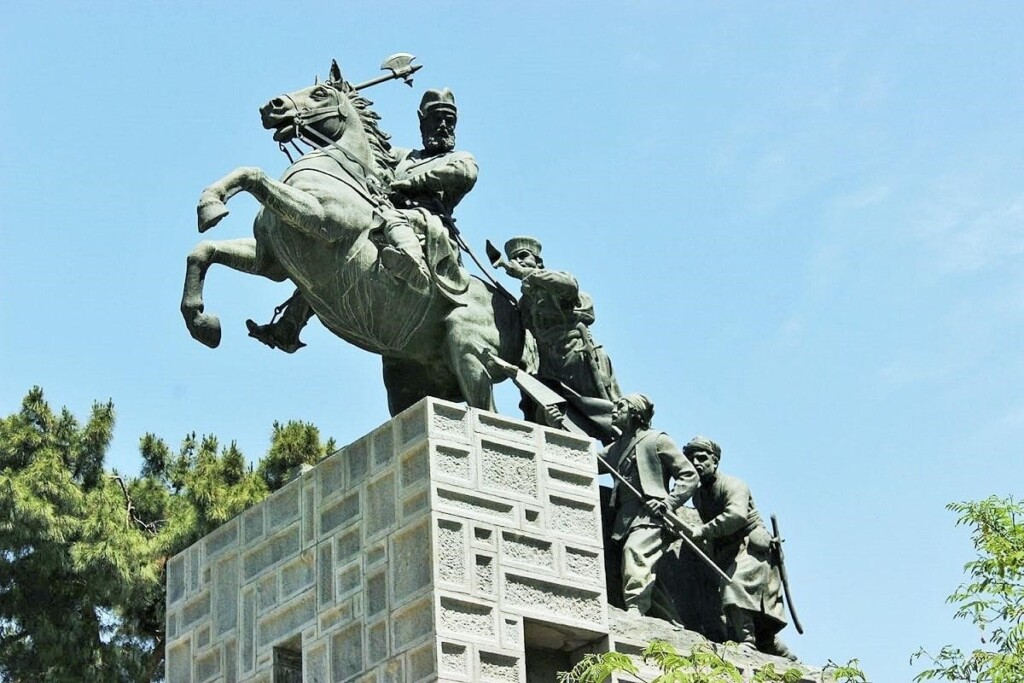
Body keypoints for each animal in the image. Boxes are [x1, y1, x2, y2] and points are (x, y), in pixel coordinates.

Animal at [178, 62, 520, 417]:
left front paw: (211, 205)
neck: (338, 169)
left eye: (319, 93)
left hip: (469, 357)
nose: (272, 106)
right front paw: (202, 321)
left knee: (488, 410)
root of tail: (513, 311)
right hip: (410, 377)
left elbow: (254, 175)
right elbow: (205, 250)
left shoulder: (319, 219)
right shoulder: (269, 262)